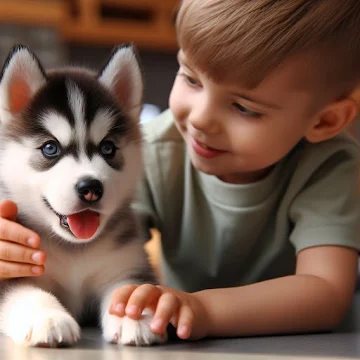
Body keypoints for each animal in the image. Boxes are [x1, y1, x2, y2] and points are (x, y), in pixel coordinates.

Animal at [0, 45, 163, 346]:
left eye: (108, 148)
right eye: (50, 148)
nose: (90, 188)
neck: (74, 250)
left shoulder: (125, 263)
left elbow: (129, 286)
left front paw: (134, 313)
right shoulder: (12, 270)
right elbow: (26, 292)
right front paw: (48, 318)